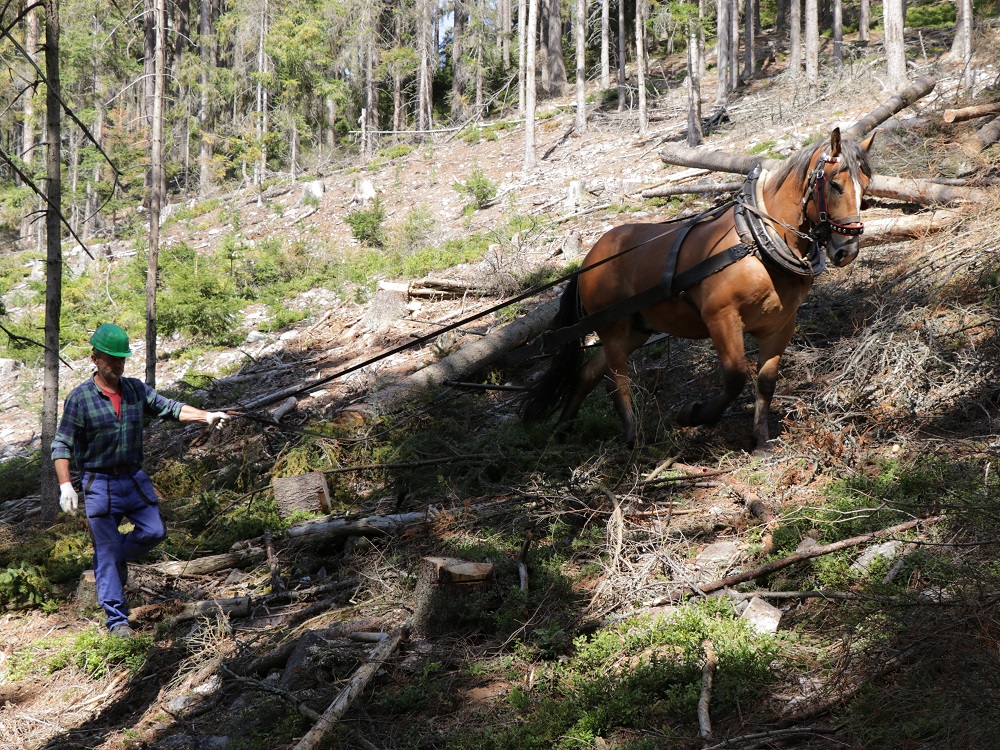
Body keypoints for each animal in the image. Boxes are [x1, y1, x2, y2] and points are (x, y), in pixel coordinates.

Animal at [524, 128, 876, 452]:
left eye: (866, 186)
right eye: (834, 184)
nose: (847, 250)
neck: (758, 241)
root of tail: (588, 260)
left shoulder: (780, 325)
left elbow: (765, 382)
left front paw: (760, 441)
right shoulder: (720, 317)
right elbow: (735, 377)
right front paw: (693, 415)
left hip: (635, 329)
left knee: (587, 373)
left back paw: (563, 428)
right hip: (613, 327)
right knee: (616, 381)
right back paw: (632, 437)